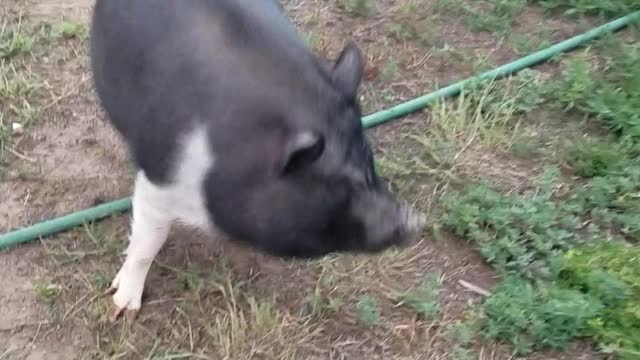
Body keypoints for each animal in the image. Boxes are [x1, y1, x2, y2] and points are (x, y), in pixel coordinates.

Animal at [89, 0, 424, 322]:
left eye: (370, 163)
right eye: (340, 184)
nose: (415, 220)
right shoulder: (159, 177)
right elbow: (147, 243)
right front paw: (122, 310)